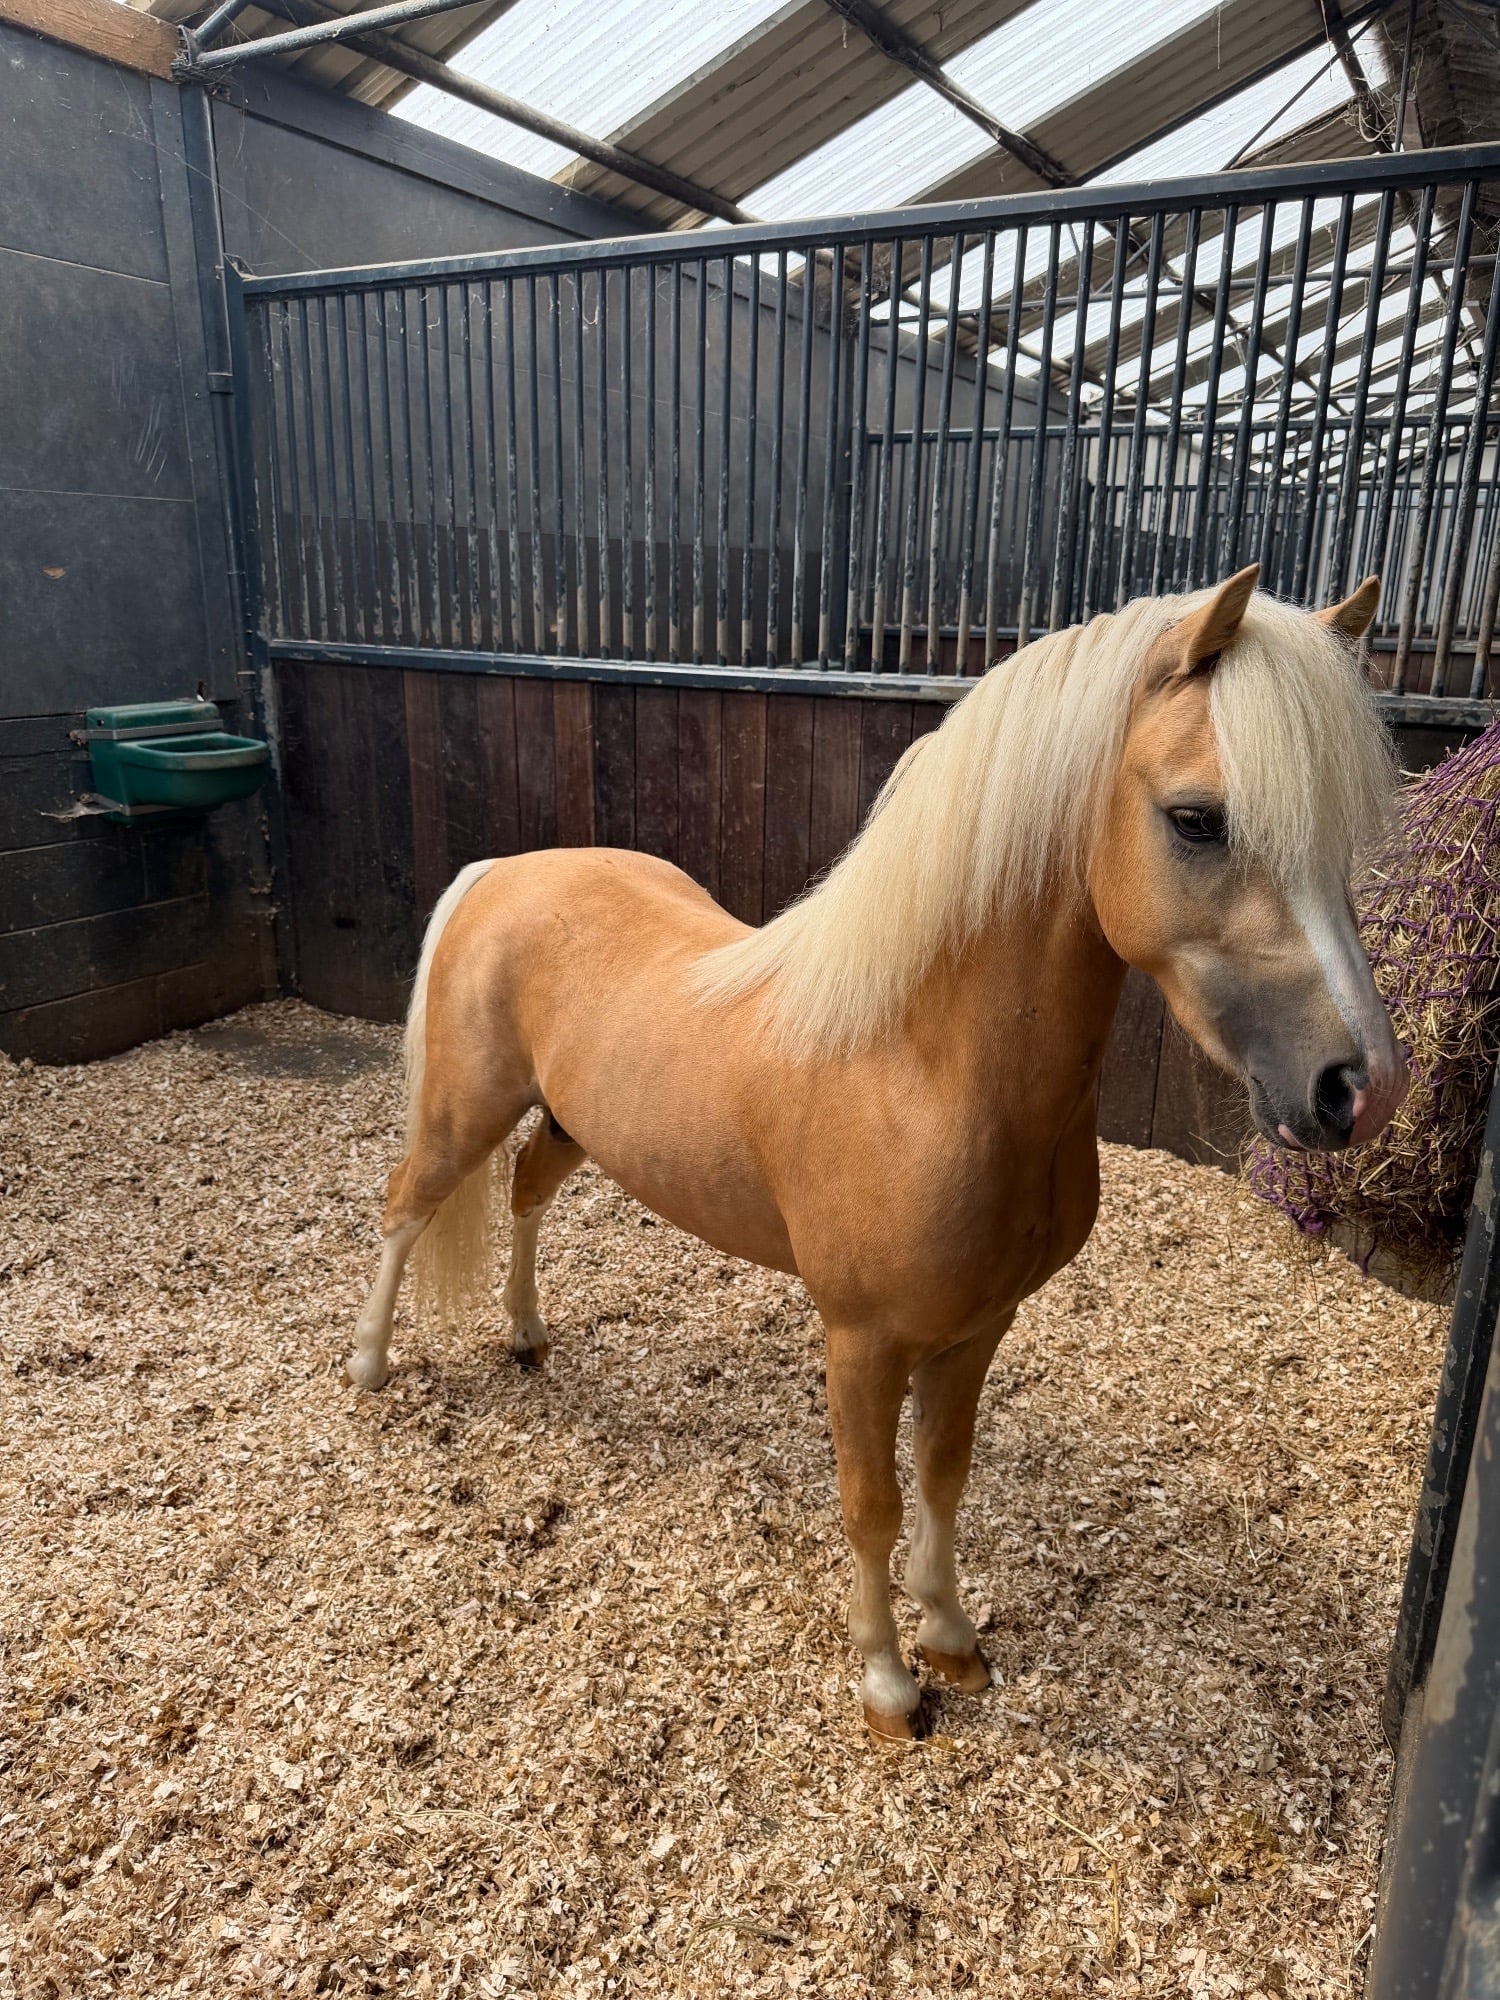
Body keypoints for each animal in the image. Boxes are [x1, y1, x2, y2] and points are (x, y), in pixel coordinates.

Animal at [346, 564, 1409, 1740]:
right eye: (1196, 819)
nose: (1359, 1088)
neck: (921, 1068)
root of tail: (504, 871)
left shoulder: (976, 1330)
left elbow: (943, 1479)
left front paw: (952, 1640)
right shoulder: (859, 1342)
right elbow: (873, 1503)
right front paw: (890, 1684)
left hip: (573, 1125)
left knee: (528, 1192)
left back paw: (528, 1335)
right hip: (465, 1111)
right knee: (405, 1205)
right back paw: (369, 1366)